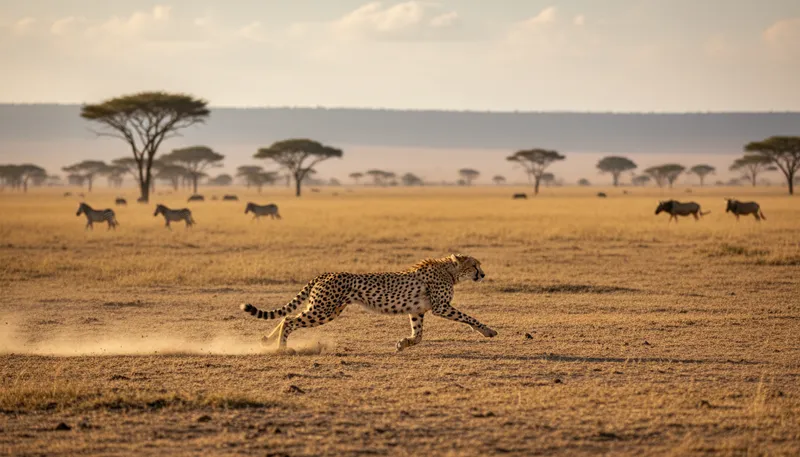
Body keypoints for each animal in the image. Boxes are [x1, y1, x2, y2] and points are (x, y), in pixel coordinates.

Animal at [240, 254, 497, 352]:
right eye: (475, 265)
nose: (483, 274)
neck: (450, 271)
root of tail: (326, 273)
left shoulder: (417, 310)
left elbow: (418, 334)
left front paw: (403, 343)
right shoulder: (441, 307)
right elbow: (469, 317)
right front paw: (488, 331)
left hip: (325, 308)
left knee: (286, 316)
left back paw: (266, 341)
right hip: (324, 309)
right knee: (290, 320)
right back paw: (282, 348)